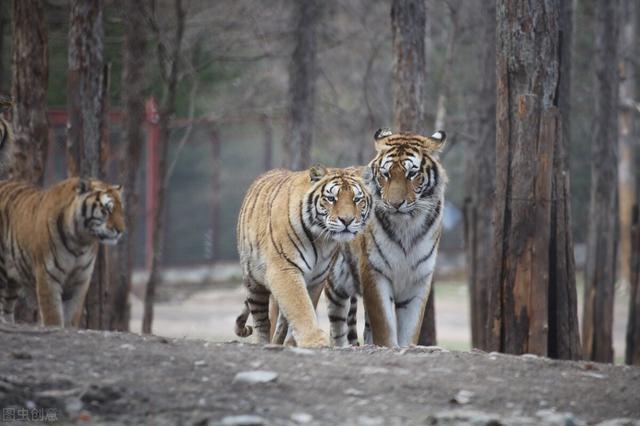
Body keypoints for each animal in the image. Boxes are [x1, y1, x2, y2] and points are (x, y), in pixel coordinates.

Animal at [0, 176, 125, 326]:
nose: (121, 231)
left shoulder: (80, 280)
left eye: (121, 211)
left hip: (11, 283)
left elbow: (72, 316)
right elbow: (52, 316)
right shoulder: (48, 276)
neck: (80, 241)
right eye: (107, 210)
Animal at [235, 165, 372, 348]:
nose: (347, 220)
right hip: (253, 281)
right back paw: (263, 342)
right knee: (261, 320)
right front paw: (314, 341)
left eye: (357, 199)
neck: (322, 239)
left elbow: (305, 305)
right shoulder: (284, 269)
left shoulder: (316, 278)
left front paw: (293, 343)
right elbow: (300, 306)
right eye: (331, 198)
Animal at [324, 128, 444, 348]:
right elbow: (385, 326)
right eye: (386, 174)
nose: (395, 204)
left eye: (411, 174)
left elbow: (409, 329)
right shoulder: (374, 272)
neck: (407, 226)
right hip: (335, 285)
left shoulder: (419, 279)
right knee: (337, 327)